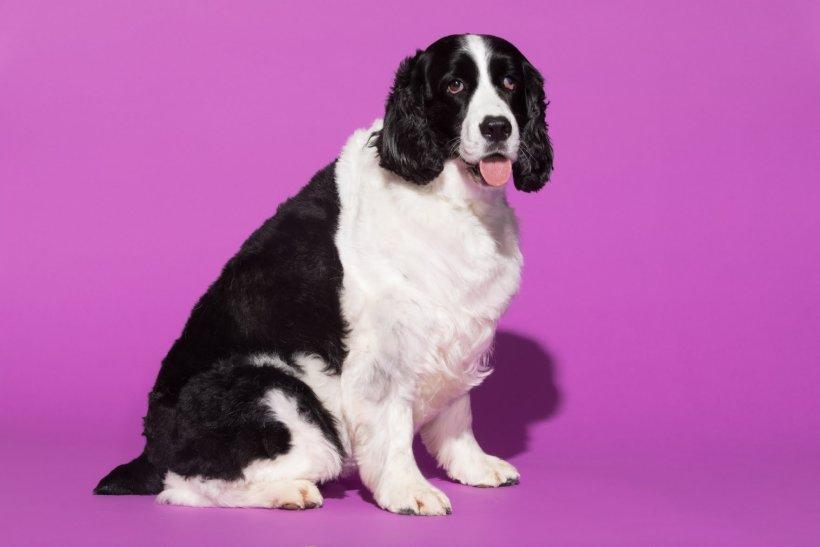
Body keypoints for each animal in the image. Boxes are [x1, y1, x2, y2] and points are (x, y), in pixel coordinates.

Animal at [96, 33, 556, 512]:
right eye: (454, 86)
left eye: (508, 82)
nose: (497, 128)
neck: (450, 198)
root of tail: (150, 446)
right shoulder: (384, 346)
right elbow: (392, 424)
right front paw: (409, 490)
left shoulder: (457, 324)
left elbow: (457, 411)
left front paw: (474, 465)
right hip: (276, 393)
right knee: (186, 484)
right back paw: (289, 492)